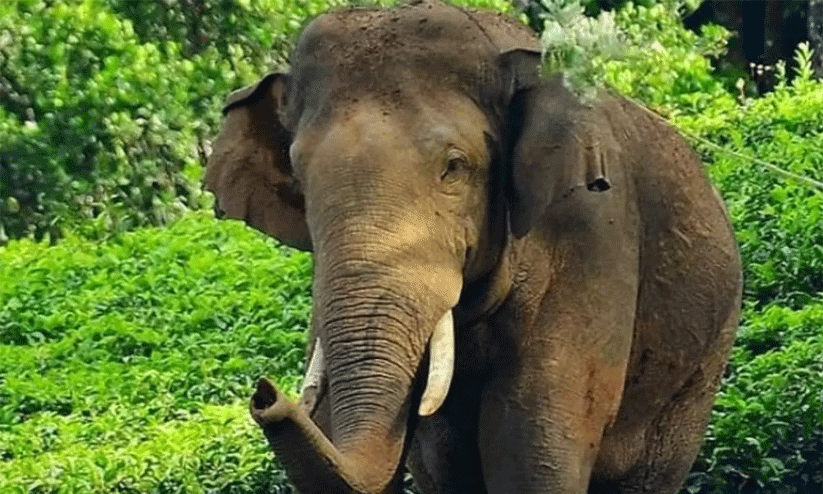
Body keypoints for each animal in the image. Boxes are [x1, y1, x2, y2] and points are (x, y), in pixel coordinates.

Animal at [204, 1, 742, 492]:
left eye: (455, 167)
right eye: (299, 176)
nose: (265, 393)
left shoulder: (593, 232)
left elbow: (531, 447)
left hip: (703, 364)